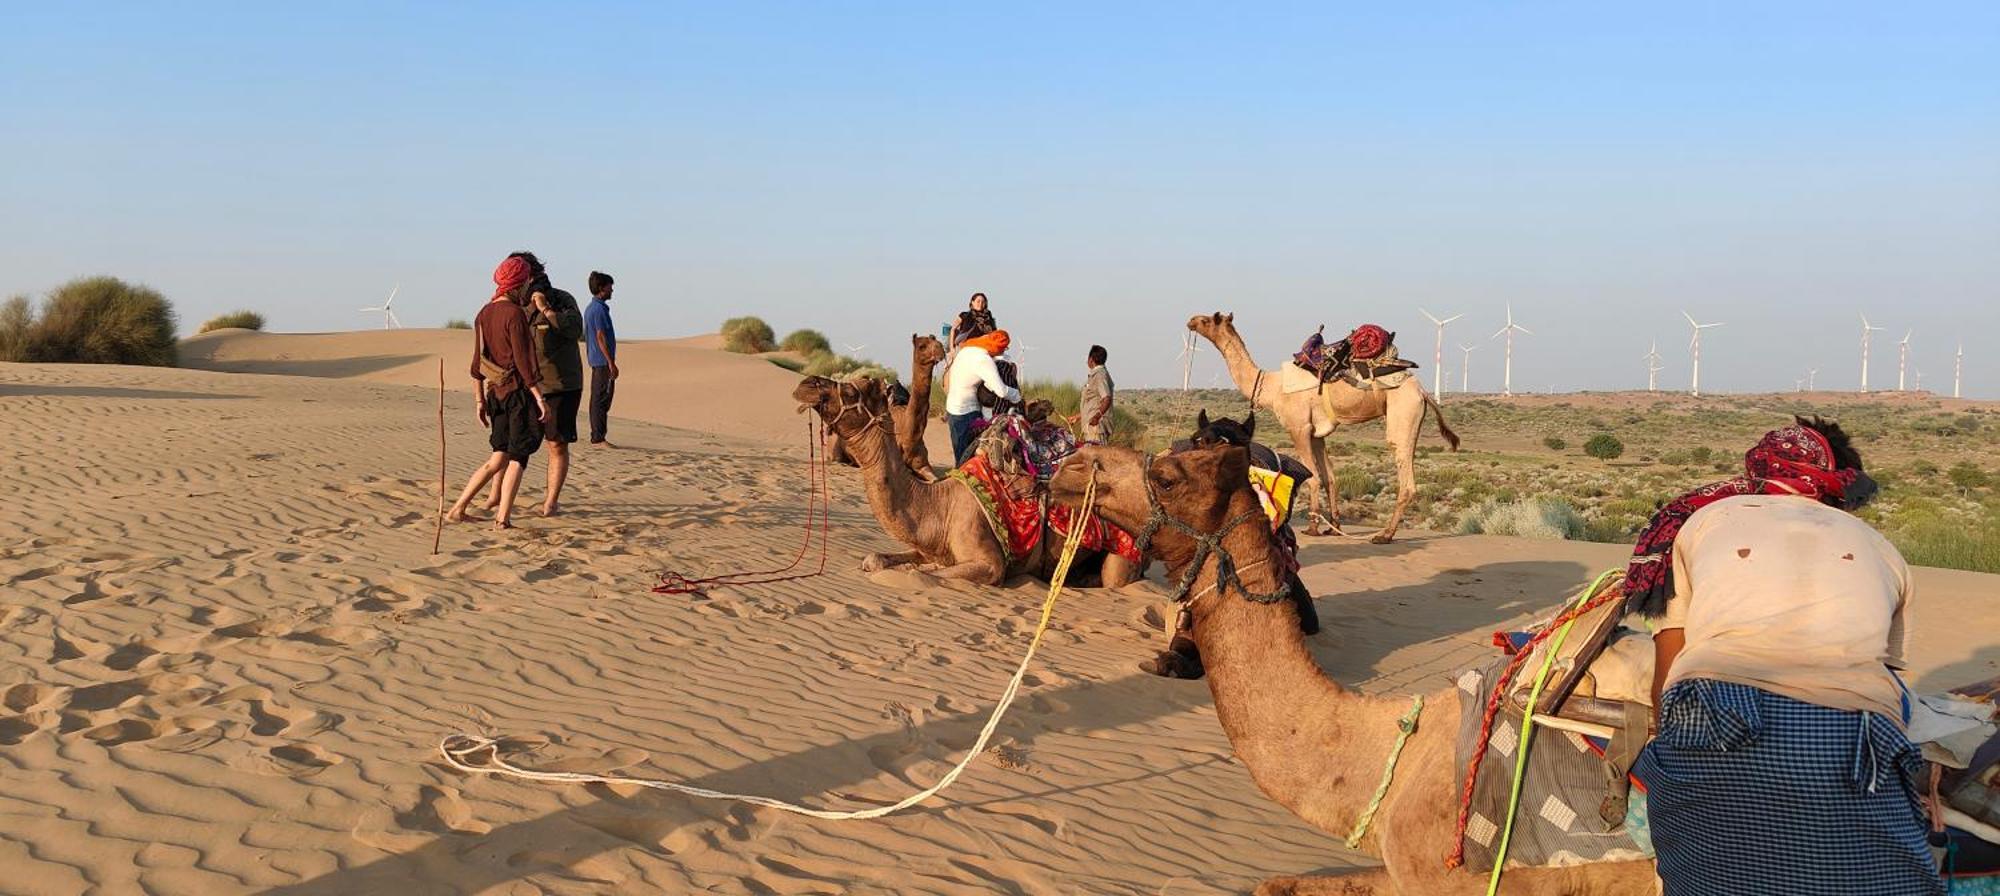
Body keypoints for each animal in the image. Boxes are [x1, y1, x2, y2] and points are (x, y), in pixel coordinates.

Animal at [792, 376, 1144, 592]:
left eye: (853, 391)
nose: (805, 384)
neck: (939, 505)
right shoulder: (929, 546)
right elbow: (877, 560)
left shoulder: (991, 565)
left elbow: (923, 573)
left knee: (1115, 579)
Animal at [1176, 312, 1464, 544]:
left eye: (1206, 319)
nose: (1190, 320)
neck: (1271, 387)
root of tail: (1423, 392)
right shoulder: (1317, 433)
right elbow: (1329, 477)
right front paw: (1333, 526)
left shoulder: (1299, 427)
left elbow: (1312, 475)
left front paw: (1313, 526)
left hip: (1402, 415)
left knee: (1406, 477)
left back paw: (1384, 535)